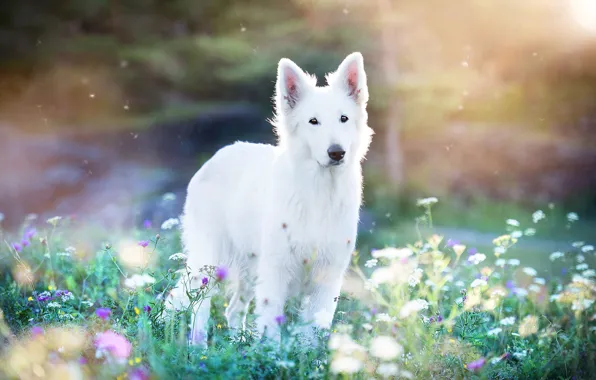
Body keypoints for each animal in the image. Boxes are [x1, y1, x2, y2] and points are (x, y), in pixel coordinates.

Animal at [166, 52, 372, 346]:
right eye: (313, 121)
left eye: (343, 118)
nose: (337, 153)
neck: (319, 193)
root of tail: (219, 154)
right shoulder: (277, 271)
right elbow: (271, 327)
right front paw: (271, 353)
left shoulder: (327, 276)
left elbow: (313, 333)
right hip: (211, 263)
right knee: (199, 306)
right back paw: (198, 348)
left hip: (251, 270)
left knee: (232, 310)